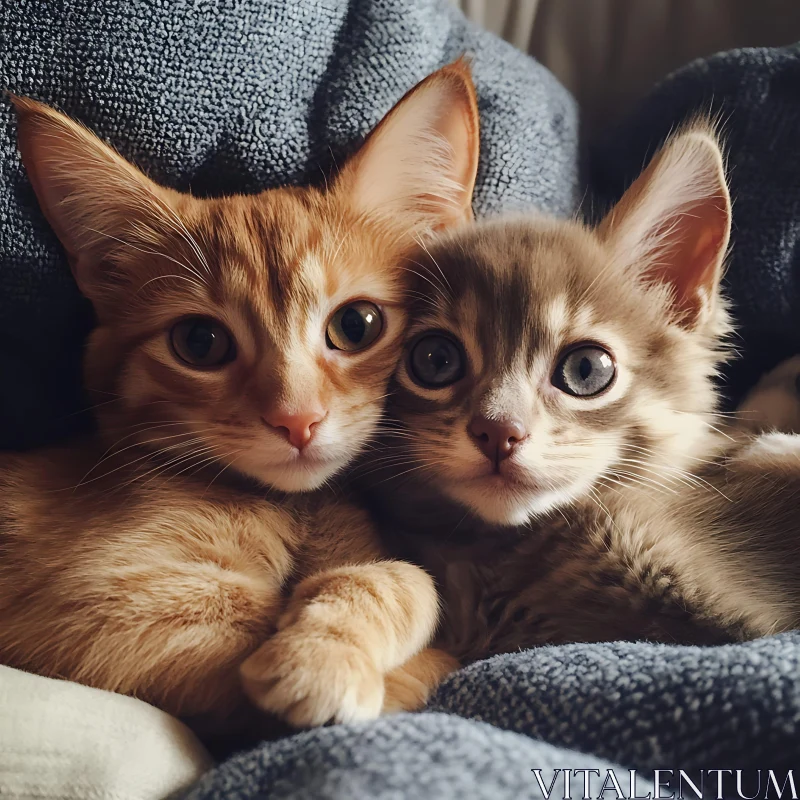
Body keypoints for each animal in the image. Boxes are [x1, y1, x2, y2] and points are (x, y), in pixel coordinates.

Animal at [0, 64, 478, 736]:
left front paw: (331, 641)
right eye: (200, 343)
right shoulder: (89, 601)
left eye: (357, 325)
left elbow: (405, 580)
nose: (296, 420)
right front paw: (324, 659)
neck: (296, 506)